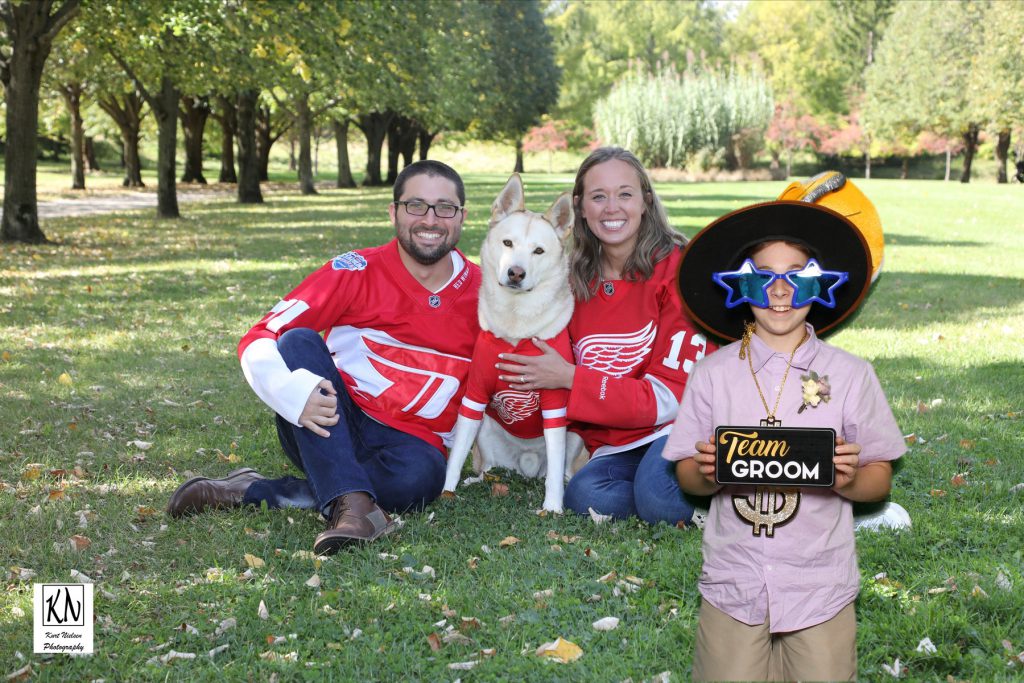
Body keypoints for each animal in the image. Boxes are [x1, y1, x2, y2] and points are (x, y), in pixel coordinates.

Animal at [442, 174, 581, 509]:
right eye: (507, 243)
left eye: (539, 251)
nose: (515, 273)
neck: (516, 326)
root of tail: (525, 464)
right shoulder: (474, 396)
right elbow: (455, 457)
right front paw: (446, 492)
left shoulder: (555, 407)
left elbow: (554, 469)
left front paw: (553, 507)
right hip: (485, 429)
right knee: (487, 467)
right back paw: (481, 479)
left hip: (576, 436)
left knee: (561, 468)